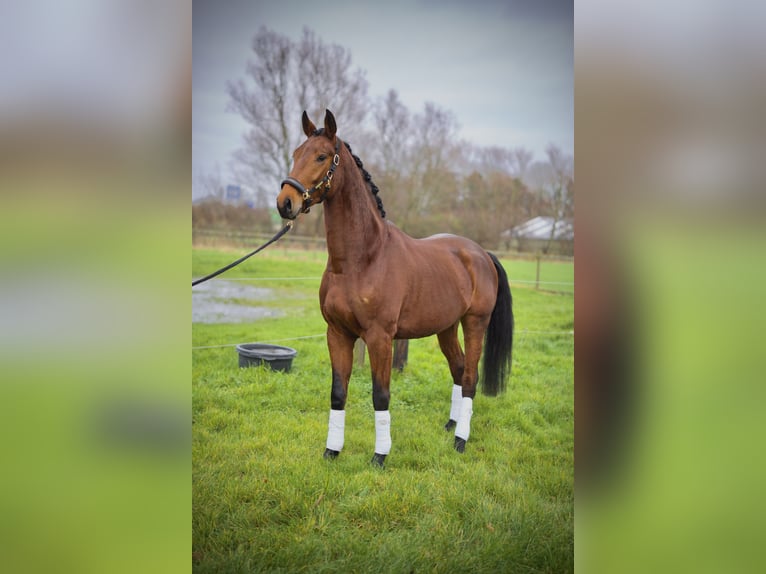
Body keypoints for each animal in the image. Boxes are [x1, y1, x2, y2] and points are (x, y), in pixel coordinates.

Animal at [278, 109, 516, 468]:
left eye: (321, 156)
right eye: (295, 154)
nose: (285, 202)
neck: (362, 259)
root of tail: (480, 253)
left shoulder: (380, 338)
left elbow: (381, 395)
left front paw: (380, 455)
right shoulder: (337, 333)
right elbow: (338, 392)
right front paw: (332, 451)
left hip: (475, 323)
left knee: (470, 378)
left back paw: (460, 440)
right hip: (446, 327)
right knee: (459, 369)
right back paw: (451, 425)